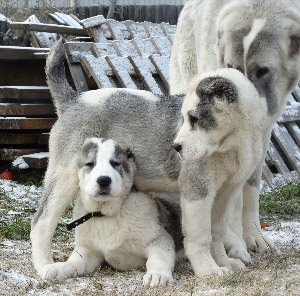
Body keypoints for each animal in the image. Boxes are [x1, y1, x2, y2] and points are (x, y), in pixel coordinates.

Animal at [41, 138, 183, 286]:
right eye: (90, 164)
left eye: (115, 163)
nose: (103, 180)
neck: (105, 214)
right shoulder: (88, 251)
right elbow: (74, 263)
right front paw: (57, 268)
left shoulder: (158, 239)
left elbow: (158, 258)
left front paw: (157, 274)